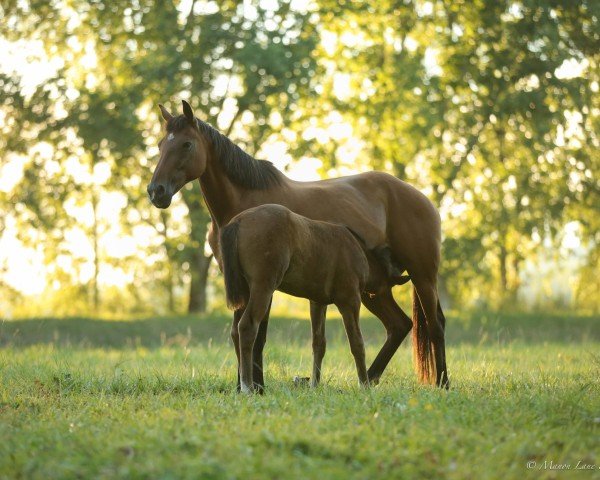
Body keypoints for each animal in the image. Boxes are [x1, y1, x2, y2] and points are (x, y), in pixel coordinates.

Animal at [149, 100, 450, 390]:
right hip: (375, 290)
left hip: (422, 276)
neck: (242, 205)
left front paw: (256, 386)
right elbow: (240, 331)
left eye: (187, 144)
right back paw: (372, 377)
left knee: (435, 326)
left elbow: (258, 335)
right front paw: (245, 384)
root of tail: (422, 199)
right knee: (399, 325)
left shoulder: (264, 284)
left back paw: (442, 382)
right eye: (161, 144)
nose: (156, 191)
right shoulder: (240, 282)